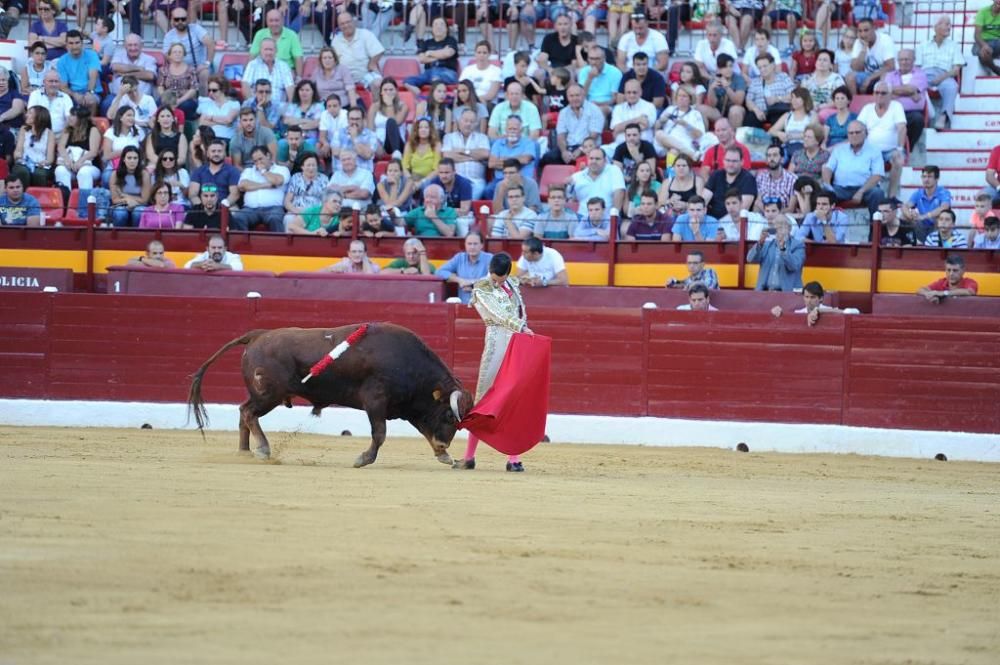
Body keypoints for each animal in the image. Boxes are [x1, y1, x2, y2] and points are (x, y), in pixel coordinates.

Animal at [188, 324, 476, 464]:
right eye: (449, 417)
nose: (444, 445)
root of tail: (259, 335)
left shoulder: (407, 407)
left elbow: (422, 429)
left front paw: (444, 457)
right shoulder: (376, 401)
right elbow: (380, 433)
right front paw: (363, 459)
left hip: (264, 395)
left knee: (243, 413)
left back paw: (245, 451)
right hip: (269, 395)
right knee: (248, 412)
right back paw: (263, 449)